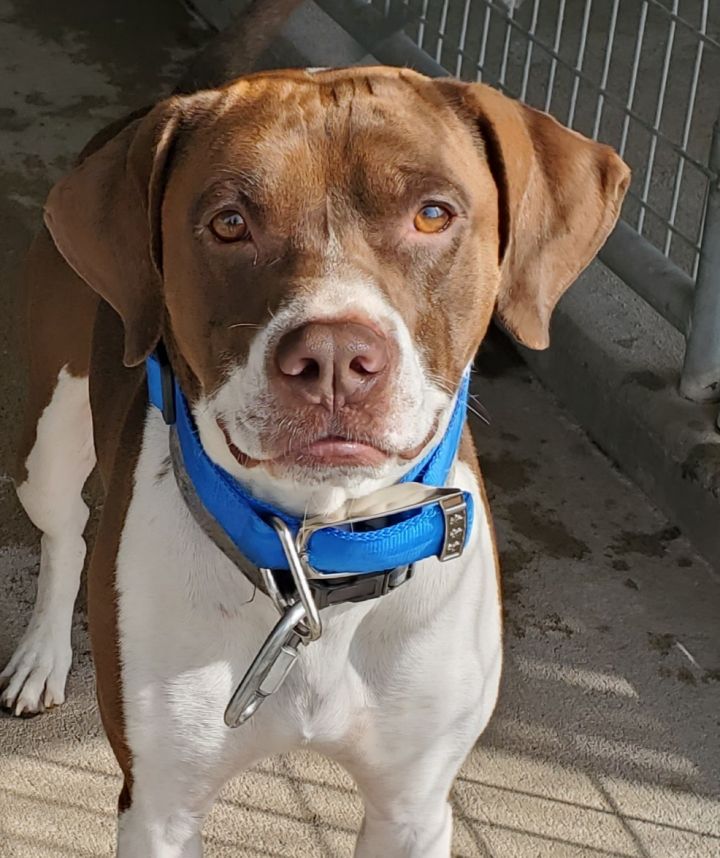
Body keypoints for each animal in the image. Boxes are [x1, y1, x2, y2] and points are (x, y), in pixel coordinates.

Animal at [0, 56, 628, 852]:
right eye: (229, 223)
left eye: (432, 214)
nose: (333, 356)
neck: (317, 564)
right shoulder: (159, 806)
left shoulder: (413, 806)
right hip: (48, 443)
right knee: (65, 532)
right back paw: (42, 655)